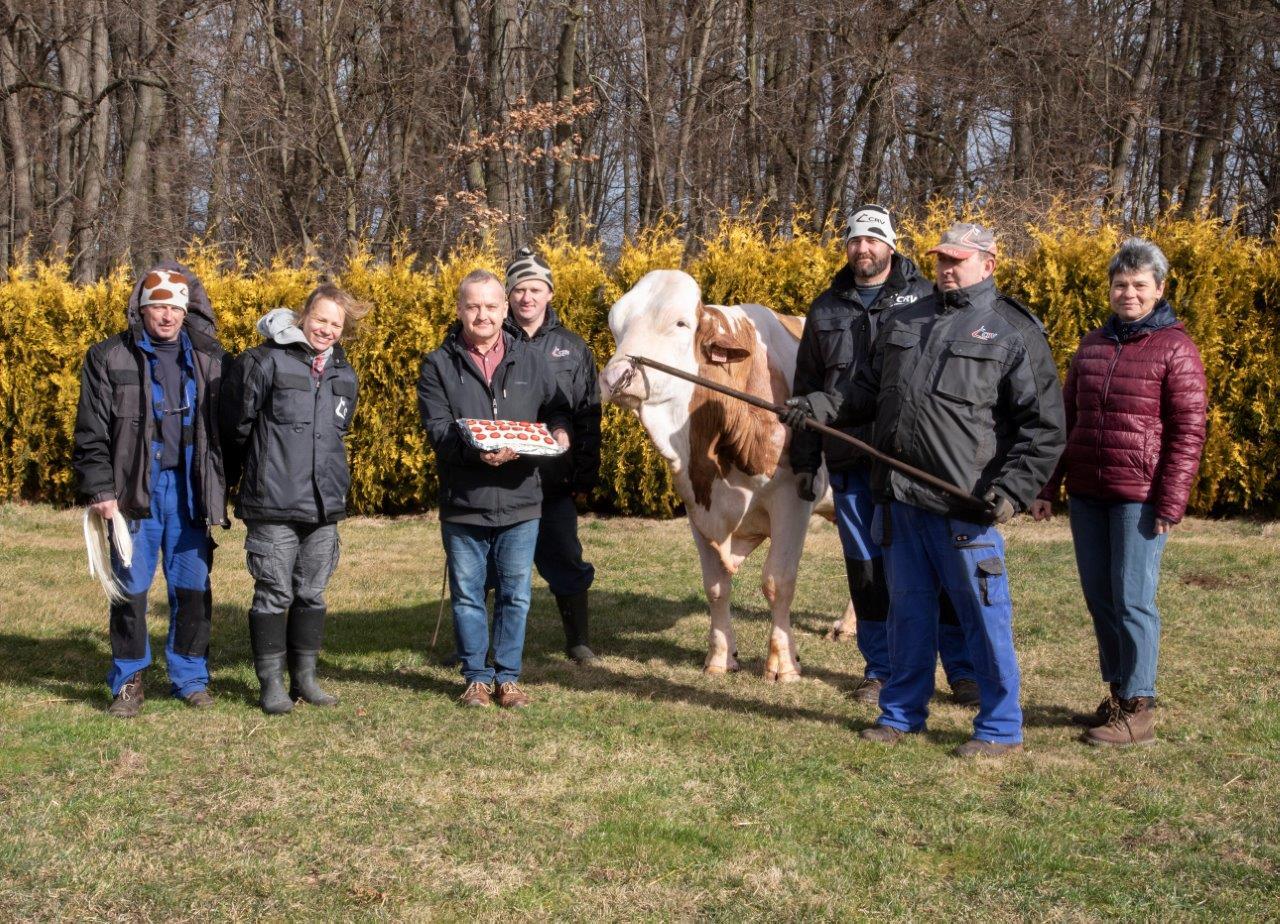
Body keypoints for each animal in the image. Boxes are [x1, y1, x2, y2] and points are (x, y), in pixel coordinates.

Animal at [599, 266, 849, 675]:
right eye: (616, 326)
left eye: (681, 323)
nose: (615, 377)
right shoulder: (697, 503)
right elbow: (716, 585)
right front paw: (719, 657)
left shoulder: (793, 501)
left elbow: (778, 581)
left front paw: (783, 664)